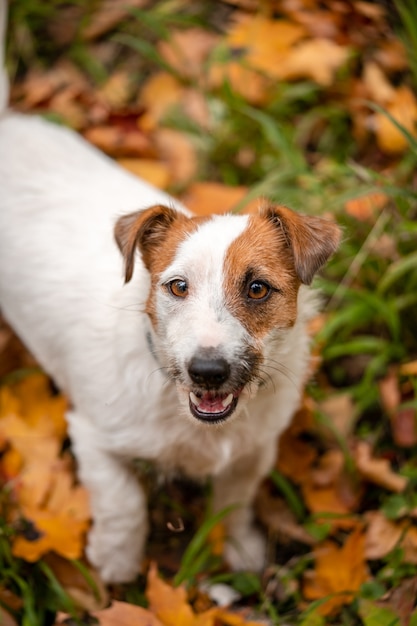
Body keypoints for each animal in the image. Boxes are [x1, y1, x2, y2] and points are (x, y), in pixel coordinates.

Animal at [0, 2, 340, 584]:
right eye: (177, 286)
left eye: (257, 287)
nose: (208, 372)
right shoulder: (93, 437)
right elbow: (125, 504)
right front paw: (115, 566)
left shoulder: (253, 451)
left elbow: (234, 501)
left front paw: (239, 550)